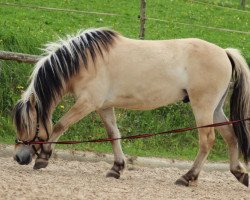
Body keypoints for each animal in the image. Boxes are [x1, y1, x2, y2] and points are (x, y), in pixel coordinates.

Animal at [12, 27, 249, 187]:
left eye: (28, 125)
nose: (18, 157)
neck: (86, 60)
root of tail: (224, 52)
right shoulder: (104, 106)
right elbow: (113, 134)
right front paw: (116, 168)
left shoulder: (88, 102)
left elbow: (60, 125)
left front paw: (43, 157)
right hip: (215, 109)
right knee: (231, 136)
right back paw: (239, 173)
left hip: (203, 107)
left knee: (207, 140)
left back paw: (187, 177)